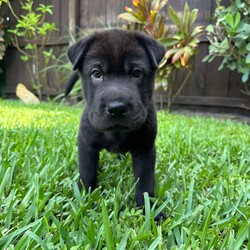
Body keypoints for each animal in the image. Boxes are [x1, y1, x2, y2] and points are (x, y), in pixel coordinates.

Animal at [67, 29, 164, 214]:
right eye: (96, 73)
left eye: (136, 73)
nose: (117, 107)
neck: (116, 133)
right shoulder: (86, 143)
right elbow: (87, 172)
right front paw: (82, 199)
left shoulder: (145, 148)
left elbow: (145, 181)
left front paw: (150, 211)